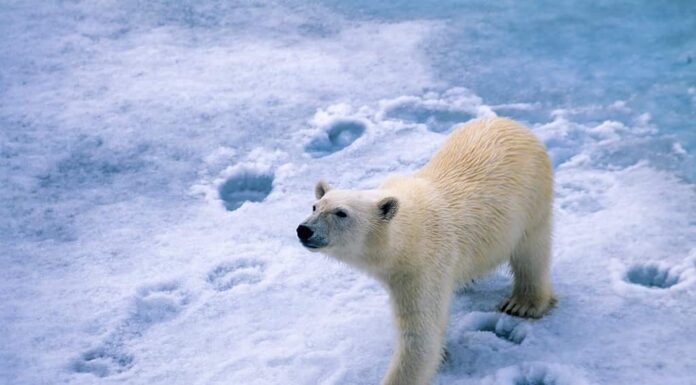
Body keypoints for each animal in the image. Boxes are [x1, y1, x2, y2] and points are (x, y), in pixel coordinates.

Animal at [298, 116, 556, 384]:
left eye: (341, 213)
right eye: (315, 206)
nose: (304, 230)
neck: (406, 235)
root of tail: (512, 123)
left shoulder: (424, 265)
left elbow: (420, 335)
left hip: (532, 199)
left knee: (532, 251)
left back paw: (523, 304)